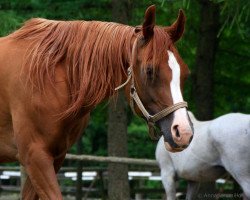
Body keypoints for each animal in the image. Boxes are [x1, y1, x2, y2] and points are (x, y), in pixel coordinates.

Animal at [0, 5, 193, 199]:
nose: (183, 132)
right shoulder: (35, 157)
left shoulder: (54, 157)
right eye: (149, 70)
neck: (48, 77)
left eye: (185, 73)